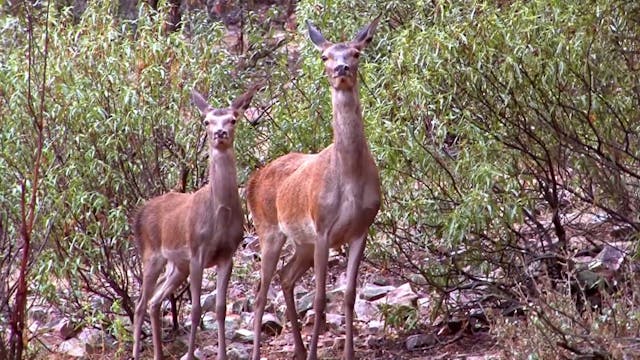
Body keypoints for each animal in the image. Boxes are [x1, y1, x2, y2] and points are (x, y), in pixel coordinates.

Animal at [132, 85, 260, 360]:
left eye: (233, 119)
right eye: (206, 121)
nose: (220, 133)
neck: (219, 216)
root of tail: (139, 214)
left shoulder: (227, 254)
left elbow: (220, 308)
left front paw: (223, 354)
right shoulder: (197, 251)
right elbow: (196, 309)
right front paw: (191, 354)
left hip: (177, 266)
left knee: (154, 301)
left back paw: (158, 354)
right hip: (151, 254)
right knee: (139, 304)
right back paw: (136, 353)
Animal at [248, 16, 380, 360]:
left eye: (356, 53)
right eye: (324, 56)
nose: (341, 68)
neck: (349, 178)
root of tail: (252, 180)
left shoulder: (361, 228)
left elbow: (348, 295)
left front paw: (348, 354)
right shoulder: (322, 227)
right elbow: (320, 299)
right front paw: (314, 353)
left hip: (301, 242)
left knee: (286, 277)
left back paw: (296, 348)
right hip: (268, 230)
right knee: (260, 292)